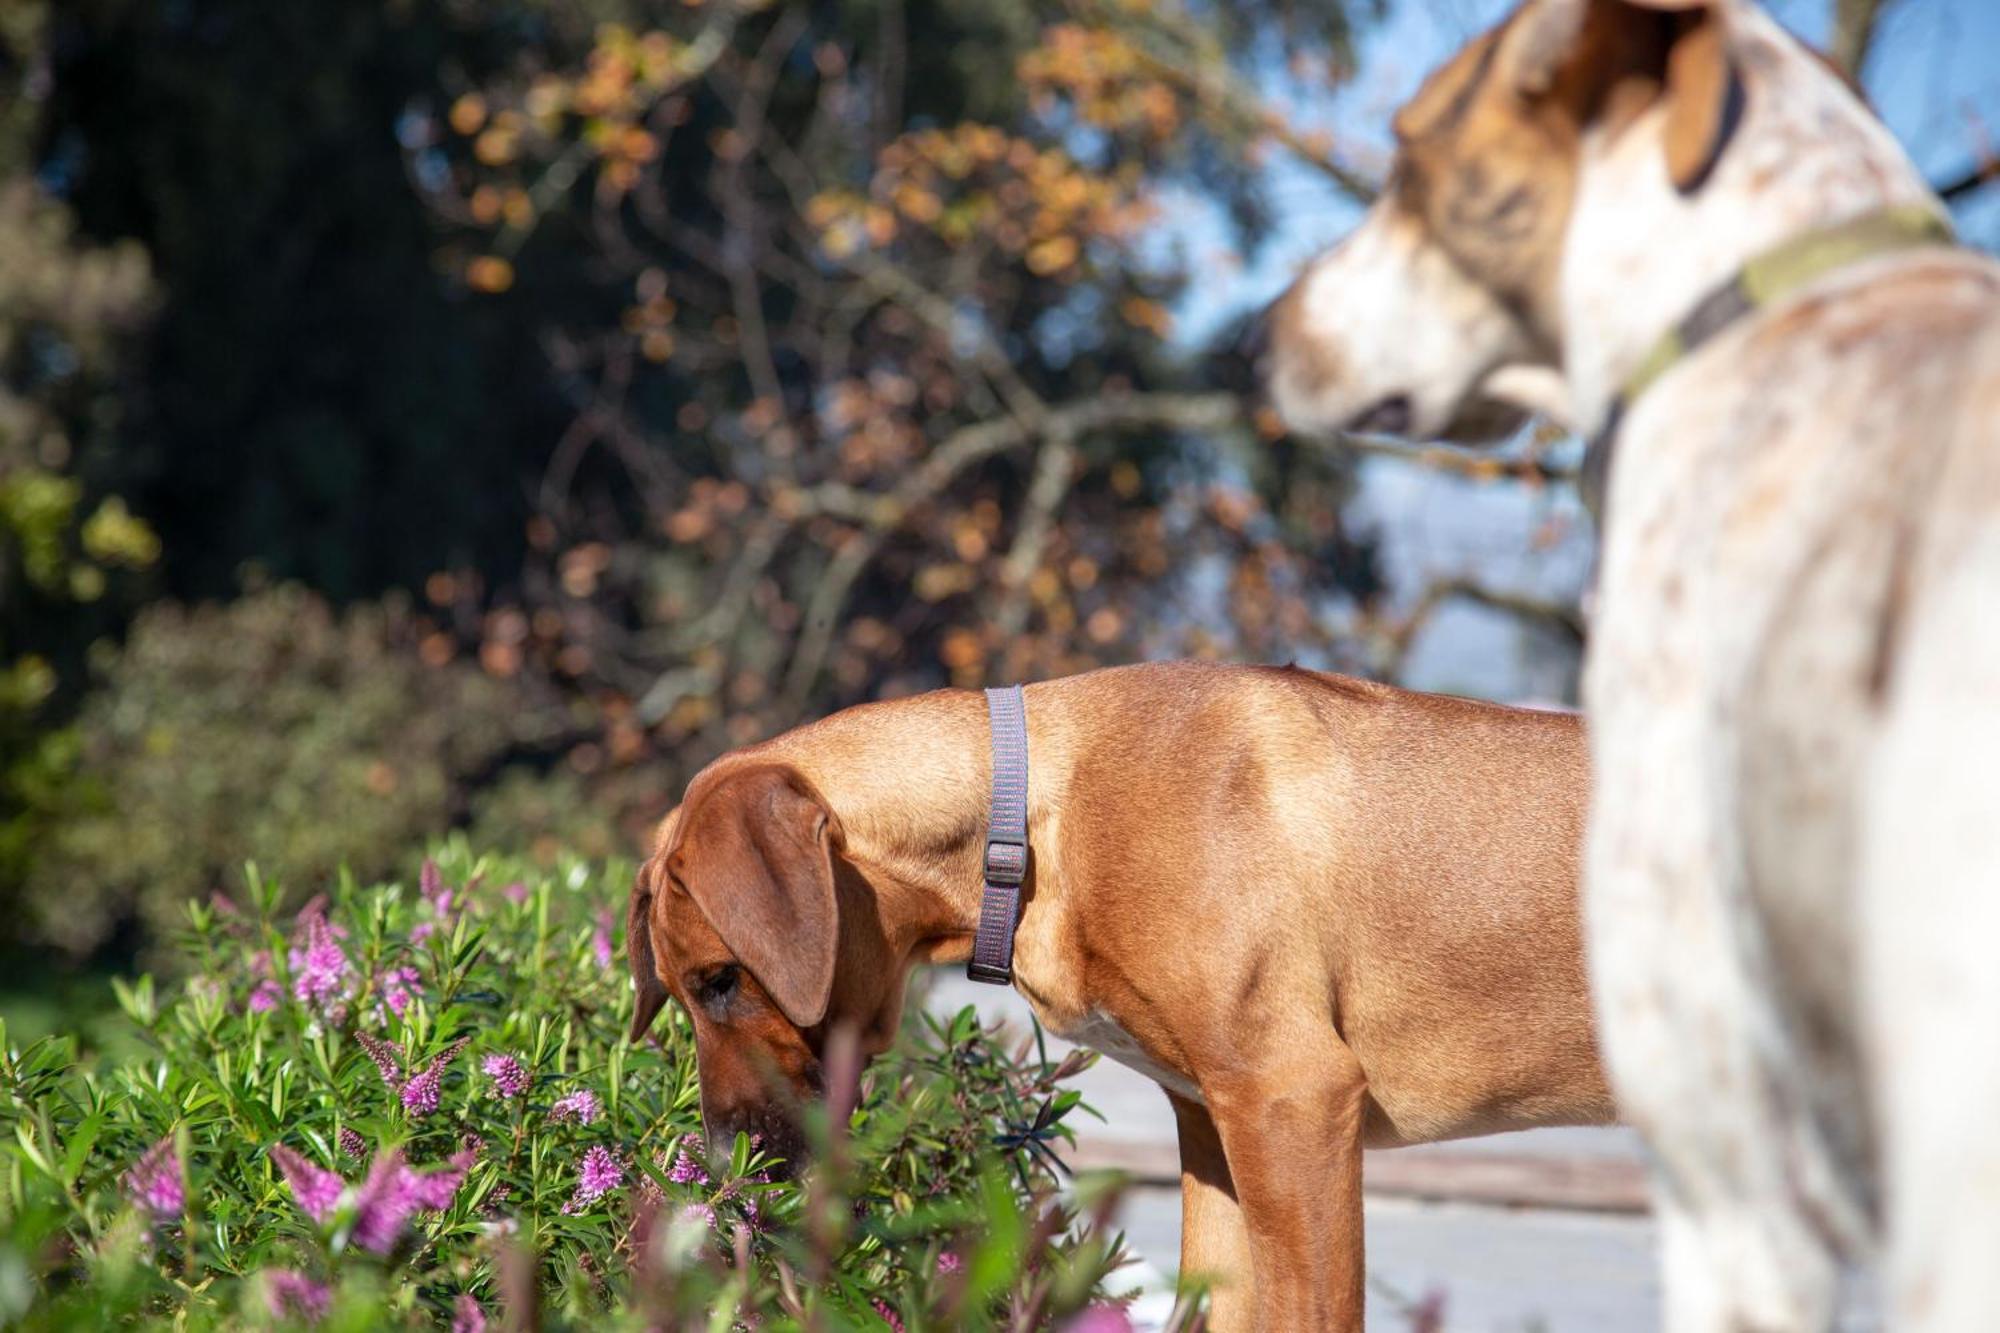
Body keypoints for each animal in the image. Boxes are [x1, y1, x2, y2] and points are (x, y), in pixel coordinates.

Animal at [624, 660, 1608, 1320]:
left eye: (721, 981)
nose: (717, 1164)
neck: (1030, 821)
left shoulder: (1292, 1105)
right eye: (684, 990)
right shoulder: (1217, 1132)